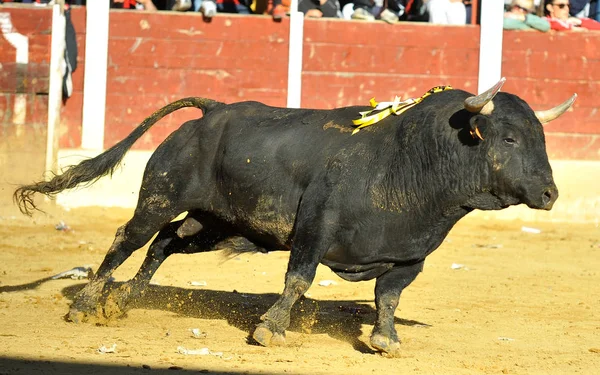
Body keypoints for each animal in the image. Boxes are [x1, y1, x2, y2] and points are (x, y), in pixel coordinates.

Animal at [14, 80, 576, 358]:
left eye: (541, 138)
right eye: (509, 138)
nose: (549, 194)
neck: (413, 162)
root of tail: (214, 110)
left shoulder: (410, 255)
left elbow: (388, 297)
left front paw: (386, 341)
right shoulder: (315, 229)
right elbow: (299, 279)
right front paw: (271, 329)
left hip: (215, 223)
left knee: (165, 243)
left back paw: (125, 300)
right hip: (160, 196)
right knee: (128, 239)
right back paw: (86, 303)